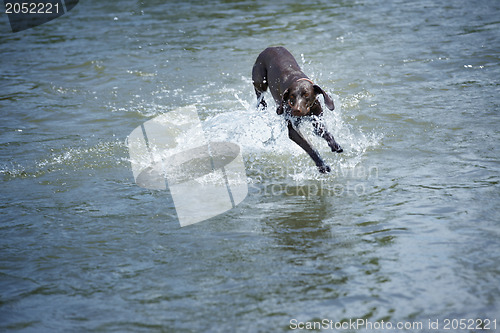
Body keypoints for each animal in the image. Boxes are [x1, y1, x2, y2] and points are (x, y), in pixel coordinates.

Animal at [252, 46, 342, 174]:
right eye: (292, 97)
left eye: (306, 94)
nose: (296, 110)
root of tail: (270, 47)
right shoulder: (293, 131)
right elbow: (310, 147)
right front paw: (322, 166)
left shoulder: (317, 121)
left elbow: (327, 134)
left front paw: (335, 145)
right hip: (260, 81)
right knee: (260, 95)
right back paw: (262, 105)